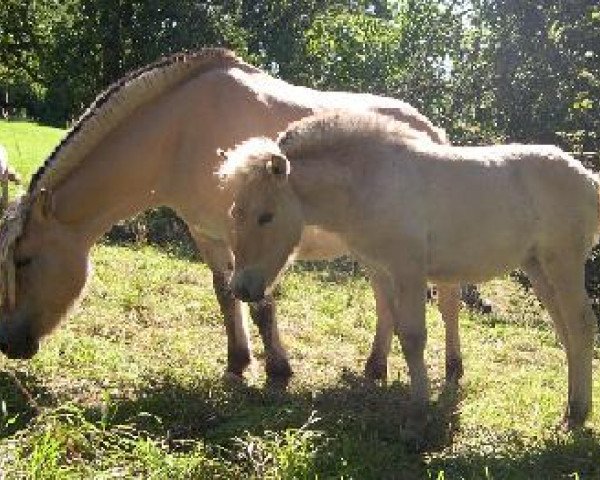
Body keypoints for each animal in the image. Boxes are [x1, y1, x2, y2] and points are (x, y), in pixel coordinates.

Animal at [0, 47, 462, 386]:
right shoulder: (206, 233)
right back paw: (375, 368)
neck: (182, 132)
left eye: (24, 260)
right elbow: (226, 296)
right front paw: (238, 362)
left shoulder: (250, 234)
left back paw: (452, 370)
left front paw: (278, 370)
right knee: (385, 300)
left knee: (447, 302)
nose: (8, 343)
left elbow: (260, 304)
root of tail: (431, 128)